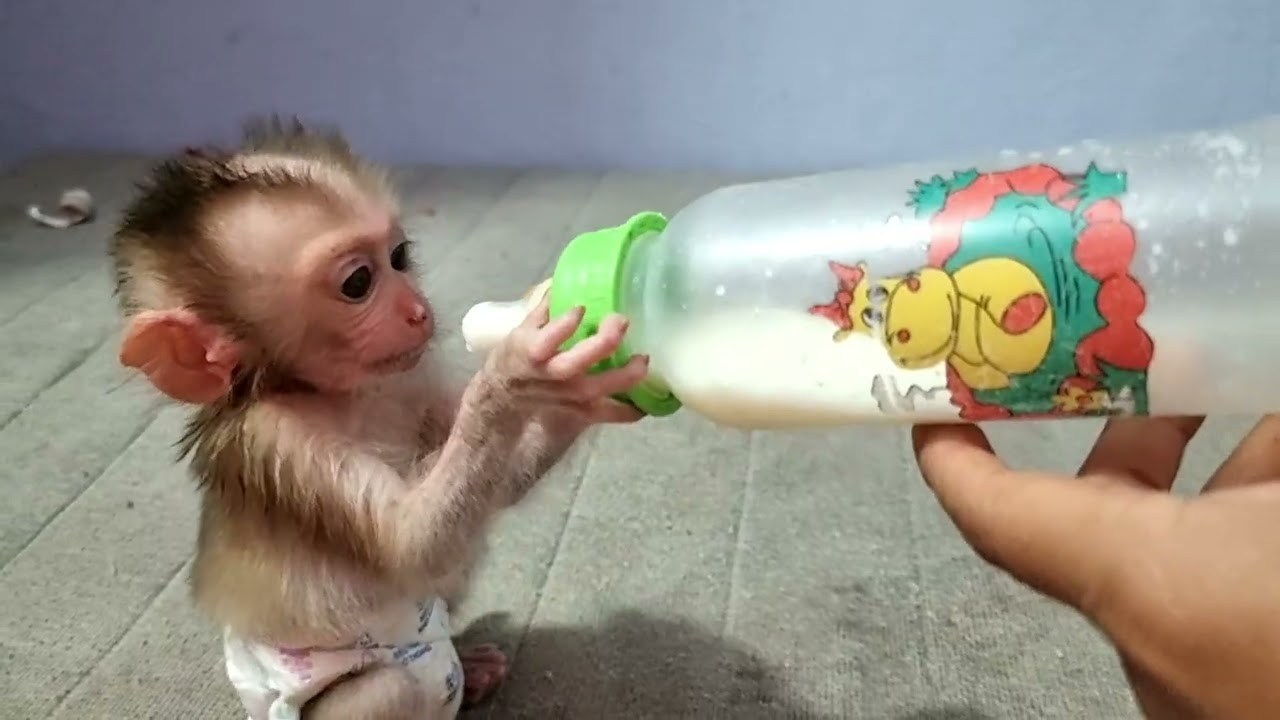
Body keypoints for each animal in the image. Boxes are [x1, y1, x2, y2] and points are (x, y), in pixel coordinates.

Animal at [108, 116, 649, 720]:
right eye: (358, 283)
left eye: (399, 256)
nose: (418, 311)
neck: (339, 393)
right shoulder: (279, 440)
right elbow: (411, 543)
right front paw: (519, 369)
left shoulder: (408, 377)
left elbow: (495, 486)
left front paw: (577, 393)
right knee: (393, 686)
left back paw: (471, 666)